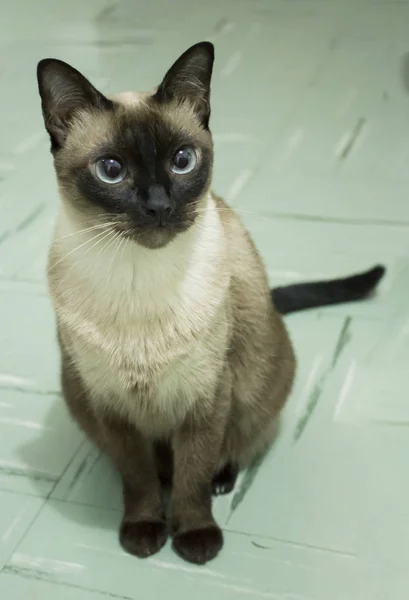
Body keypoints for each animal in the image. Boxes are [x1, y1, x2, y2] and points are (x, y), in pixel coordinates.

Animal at [36, 41, 384, 564]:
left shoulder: (205, 398)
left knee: (230, 450)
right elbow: (138, 477)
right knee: (149, 468)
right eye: (111, 171)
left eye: (182, 161)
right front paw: (143, 532)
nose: (159, 206)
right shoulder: (112, 406)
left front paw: (195, 538)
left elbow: (193, 476)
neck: (141, 282)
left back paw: (222, 479)